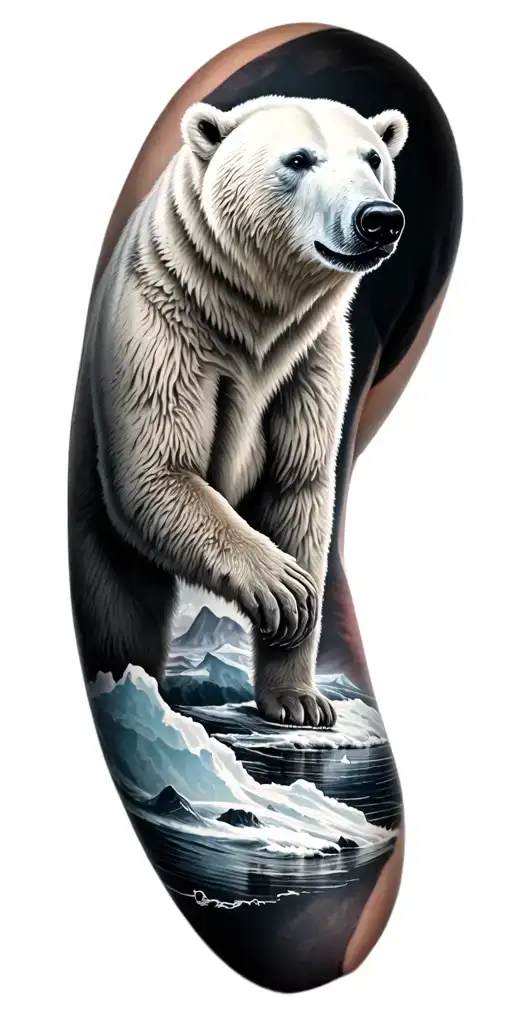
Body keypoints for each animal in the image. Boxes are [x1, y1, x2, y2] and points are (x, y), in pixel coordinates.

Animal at [68, 94, 408, 728]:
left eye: (373, 157)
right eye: (298, 159)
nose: (379, 218)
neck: (251, 317)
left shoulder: (311, 358)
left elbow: (299, 491)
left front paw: (301, 699)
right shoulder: (165, 325)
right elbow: (159, 470)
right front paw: (283, 587)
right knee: (118, 598)